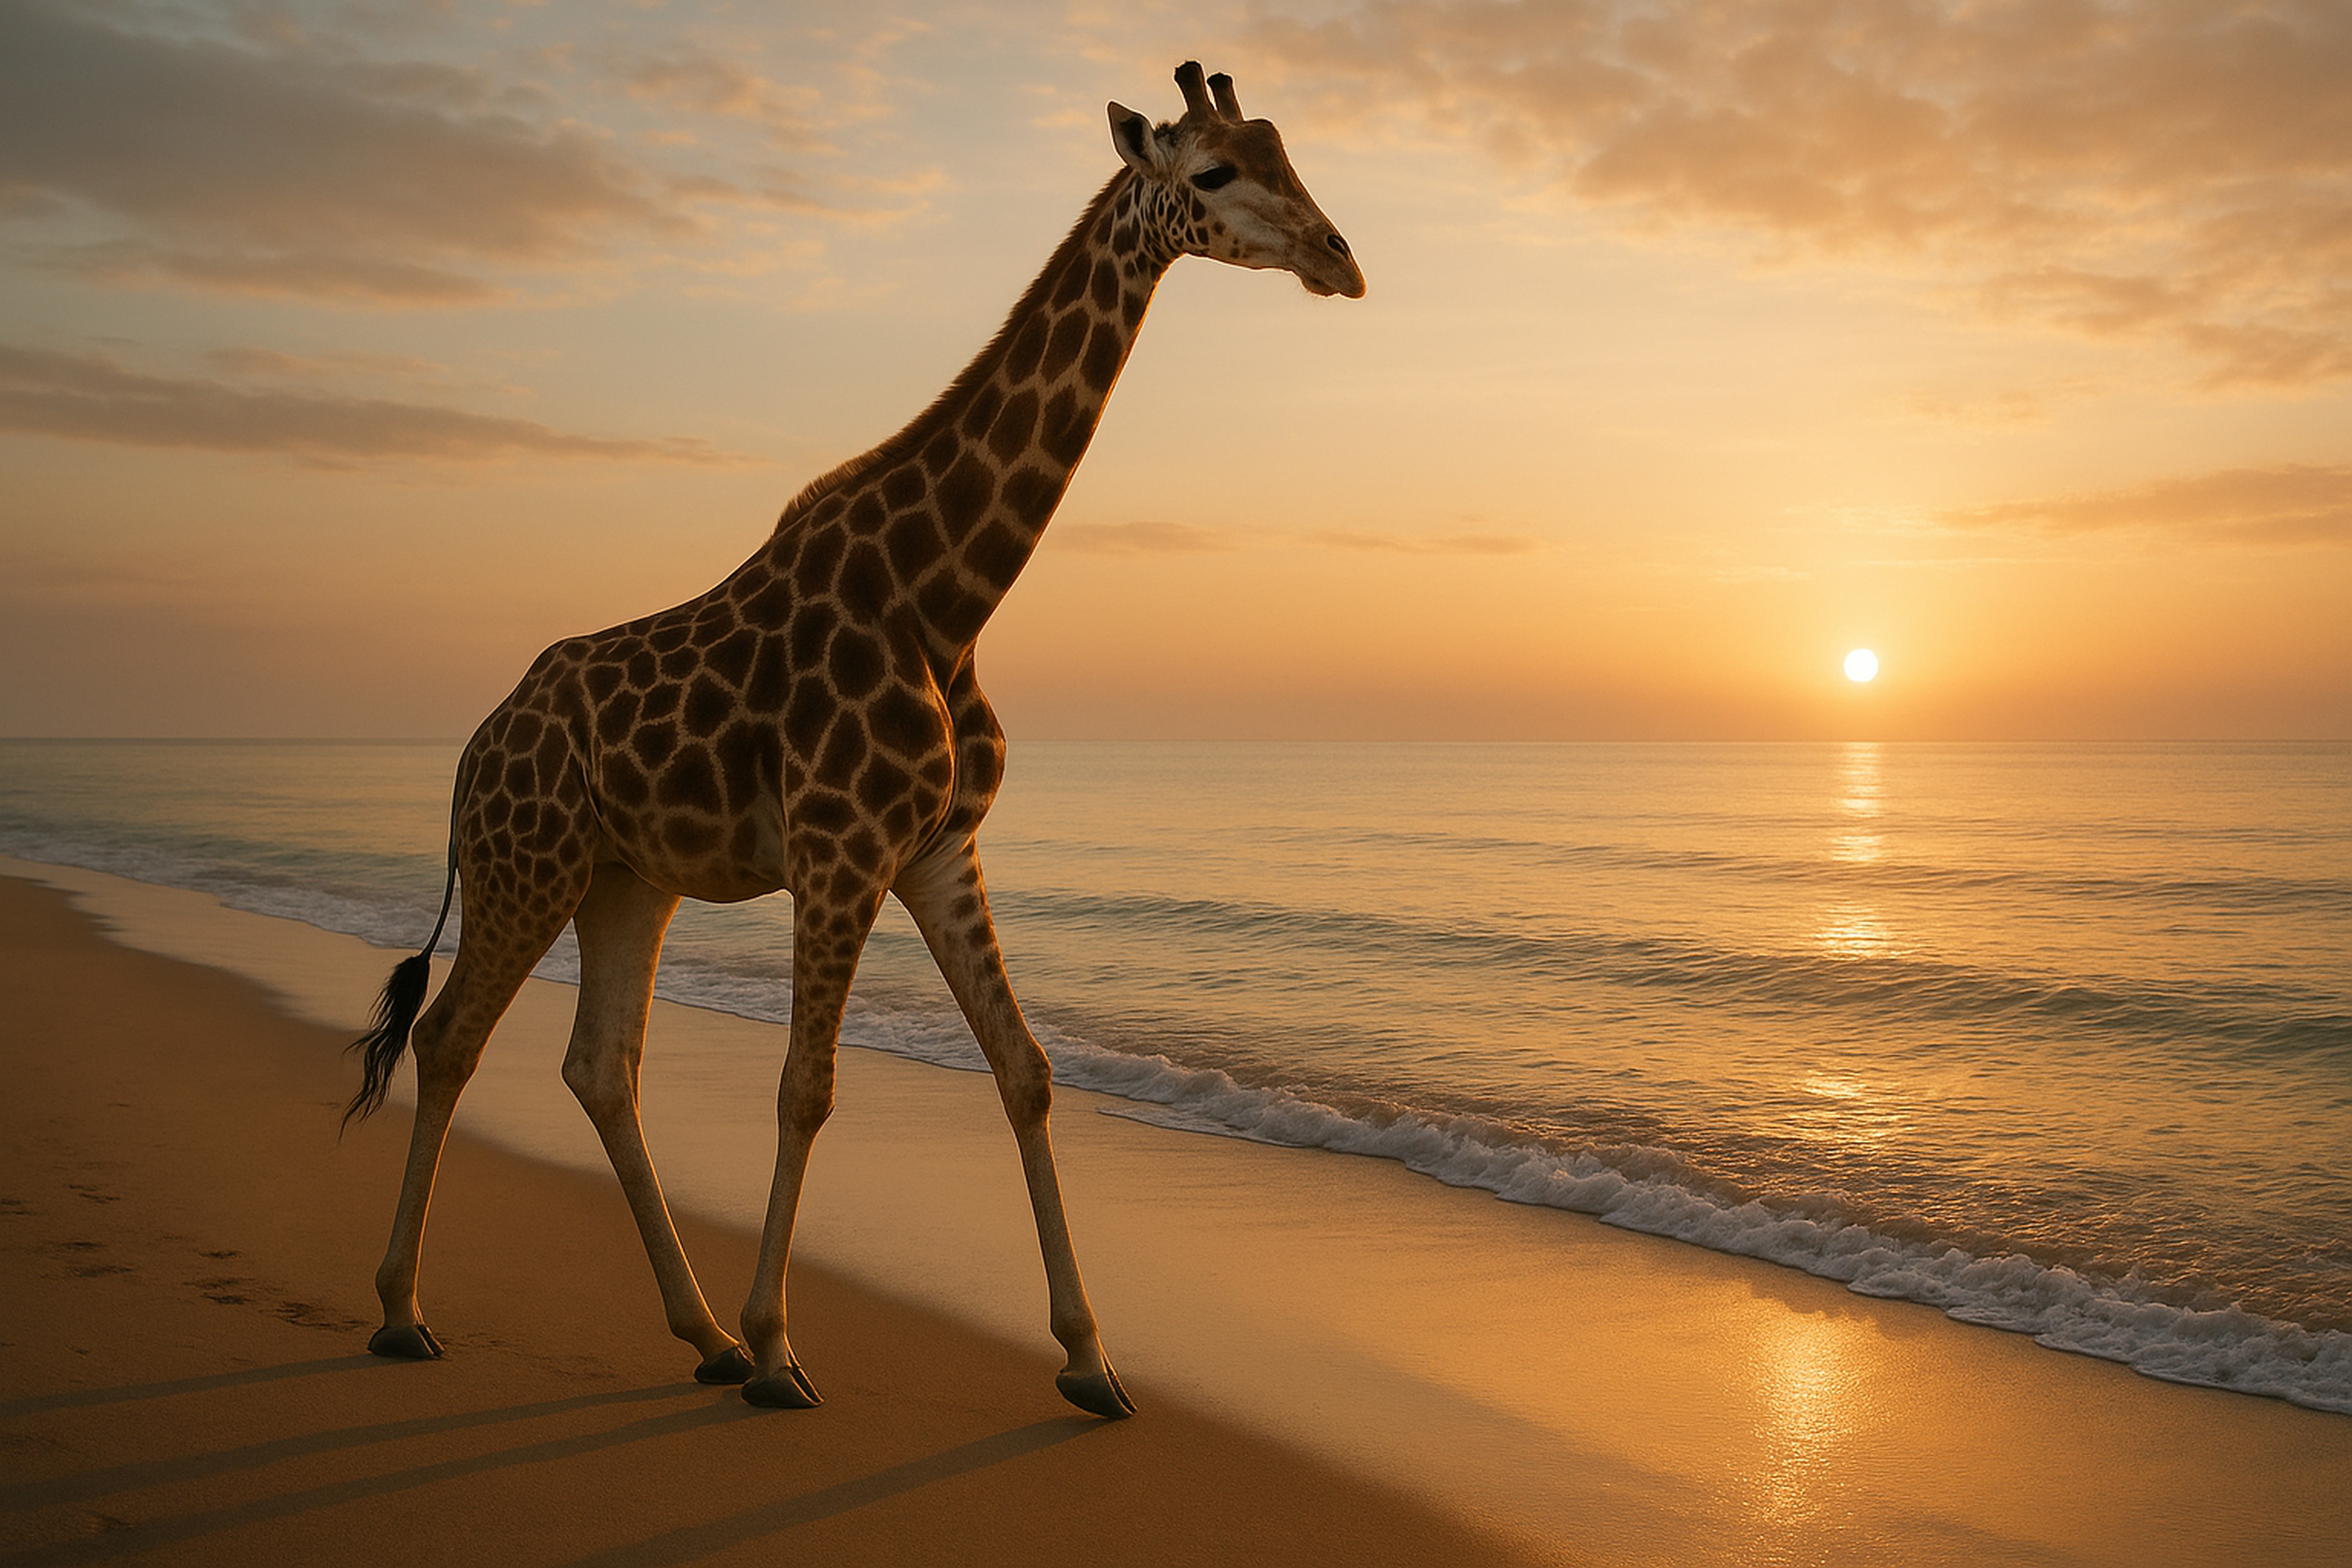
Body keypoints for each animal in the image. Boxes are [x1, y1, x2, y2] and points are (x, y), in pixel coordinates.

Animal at [342, 62, 1364, 1418]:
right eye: (1215, 172)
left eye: (1287, 151)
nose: (1341, 259)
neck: (946, 598)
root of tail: (471, 749)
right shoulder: (840, 854)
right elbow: (806, 1085)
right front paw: (785, 1347)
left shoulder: (937, 849)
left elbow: (1027, 1069)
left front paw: (1089, 1358)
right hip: (529, 865)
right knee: (452, 1036)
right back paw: (409, 1310)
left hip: (625, 879)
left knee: (600, 1065)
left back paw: (700, 1334)